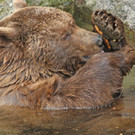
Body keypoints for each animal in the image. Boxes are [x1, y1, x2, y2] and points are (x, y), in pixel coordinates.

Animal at [0, 0, 134, 108]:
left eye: (73, 22)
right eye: (65, 35)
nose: (99, 40)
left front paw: (107, 24)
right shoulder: (23, 95)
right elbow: (75, 95)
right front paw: (115, 57)